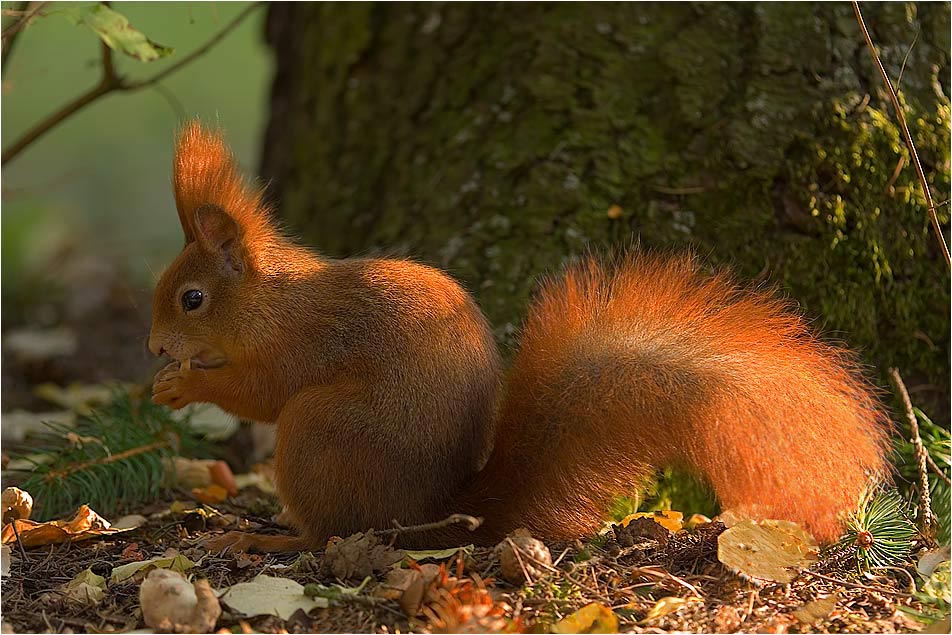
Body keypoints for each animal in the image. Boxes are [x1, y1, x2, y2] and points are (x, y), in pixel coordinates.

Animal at [147, 123, 884, 552]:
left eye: (192, 299)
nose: (154, 347)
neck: (270, 301)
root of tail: (433, 513)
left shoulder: (300, 342)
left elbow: (258, 392)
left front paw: (182, 384)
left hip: (315, 432)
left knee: (336, 532)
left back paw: (274, 541)